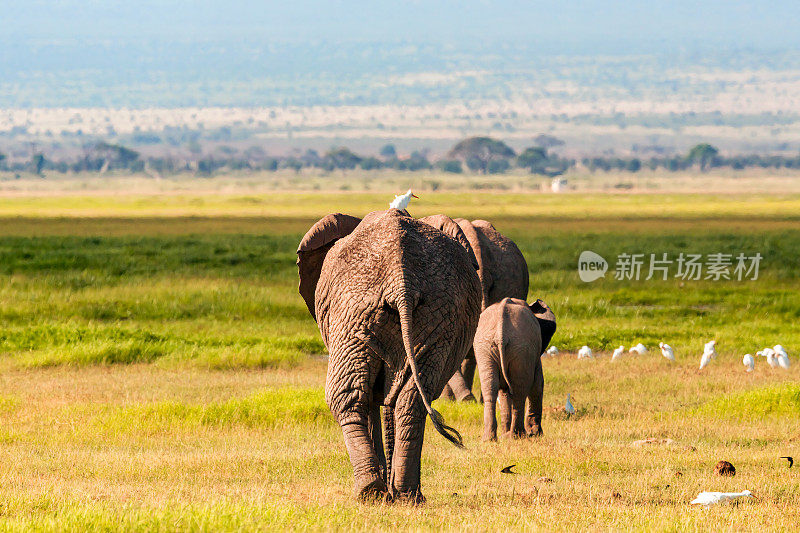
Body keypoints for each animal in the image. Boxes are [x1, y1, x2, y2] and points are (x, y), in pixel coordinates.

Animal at [296, 209, 478, 502]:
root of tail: (401, 281)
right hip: (431, 313)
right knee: (407, 399)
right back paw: (404, 495)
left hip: (355, 312)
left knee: (349, 397)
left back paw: (372, 492)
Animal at [476, 298, 556, 438]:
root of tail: (500, 333)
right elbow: (538, 384)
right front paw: (536, 434)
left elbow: (504, 391)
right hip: (522, 349)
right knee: (520, 391)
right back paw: (517, 436)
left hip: (486, 348)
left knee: (490, 388)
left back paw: (491, 438)